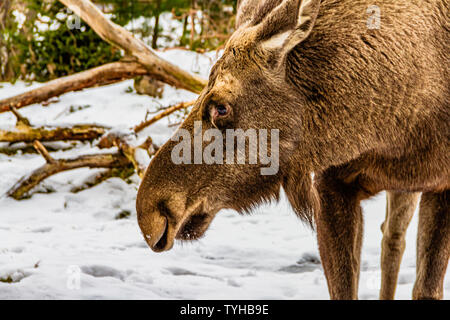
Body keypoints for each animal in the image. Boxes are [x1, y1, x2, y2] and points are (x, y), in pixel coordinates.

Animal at [135, 0, 448, 300]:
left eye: (220, 107)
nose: (151, 212)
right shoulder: (330, 184)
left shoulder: (441, 185)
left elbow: (427, 289)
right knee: (391, 235)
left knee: (394, 237)